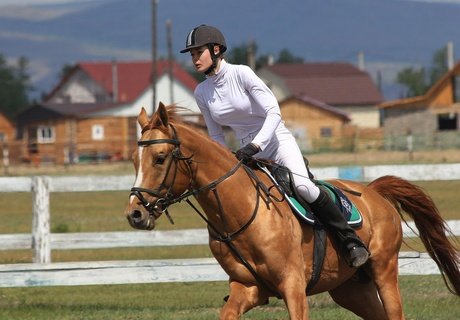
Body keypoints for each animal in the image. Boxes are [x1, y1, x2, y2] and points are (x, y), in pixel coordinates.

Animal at [125, 104, 460, 318]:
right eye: (134, 160)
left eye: (159, 158)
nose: (135, 214)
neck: (239, 213)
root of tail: (374, 191)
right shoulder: (247, 288)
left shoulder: (293, 286)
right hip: (351, 289)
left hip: (384, 271)